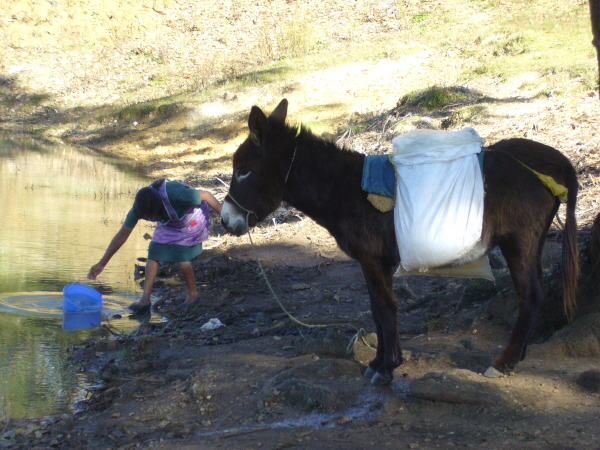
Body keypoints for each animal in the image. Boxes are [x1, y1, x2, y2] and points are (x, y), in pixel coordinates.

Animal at [221, 99, 579, 386]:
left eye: (243, 171)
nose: (225, 220)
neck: (346, 190)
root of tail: (556, 161)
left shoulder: (373, 259)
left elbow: (385, 309)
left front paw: (386, 367)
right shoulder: (373, 262)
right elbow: (377, 310)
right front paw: (379, 362)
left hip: (518, 240)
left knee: (530, 295)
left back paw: (503, 363)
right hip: (533, 240)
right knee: (538, 292)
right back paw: (517, 357)